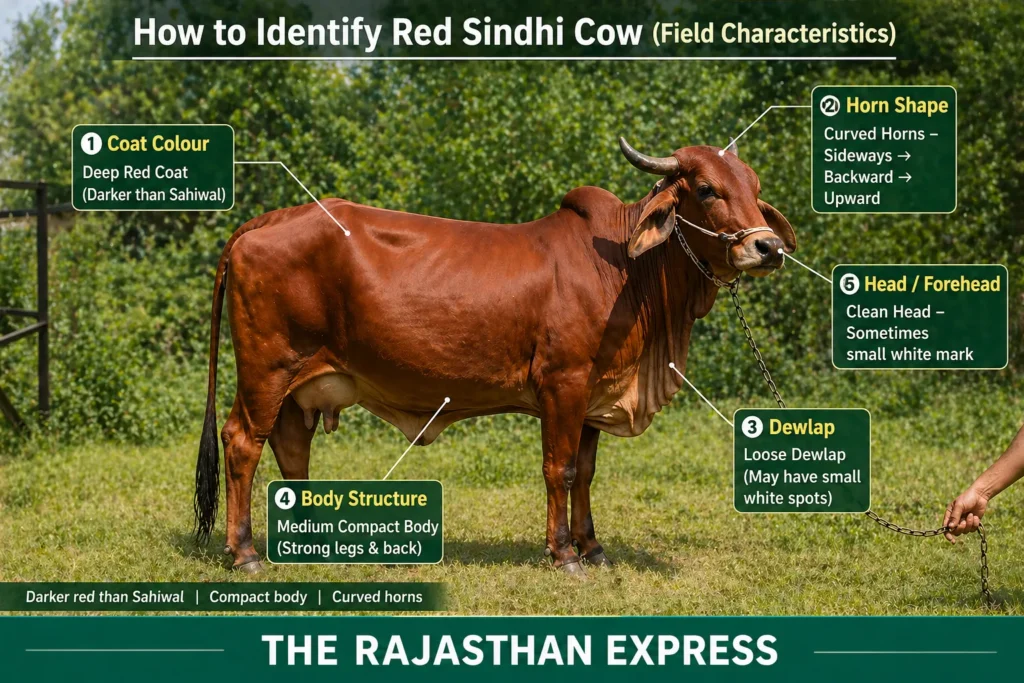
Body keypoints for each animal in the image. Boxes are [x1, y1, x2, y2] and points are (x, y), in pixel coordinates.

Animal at [193, 139, 796, 575]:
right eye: (706, 189)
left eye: (755, 187)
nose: (768, 247)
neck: (628, 271)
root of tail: (262, 222)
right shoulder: (563, 382)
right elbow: (561, 468)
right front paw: (565, 555)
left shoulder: (594, 392)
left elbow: (587, 471)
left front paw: (594, 548)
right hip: (267, 370)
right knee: (243, 443)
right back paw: (245, 554)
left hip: (296, 387)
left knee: (291, 450)